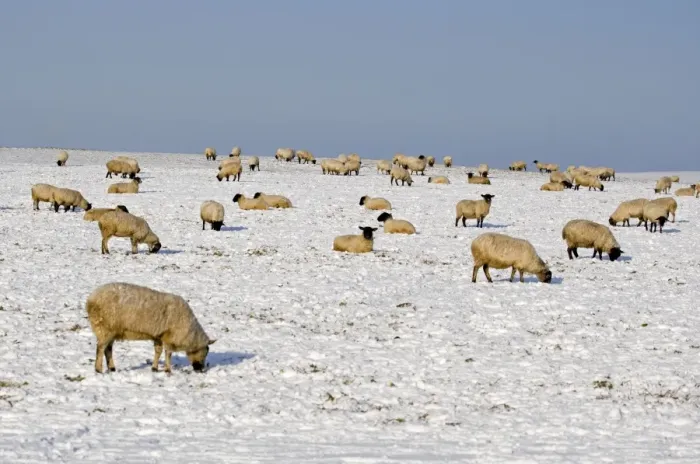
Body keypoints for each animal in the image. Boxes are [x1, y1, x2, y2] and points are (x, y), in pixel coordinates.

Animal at [86, 282, 215, 373]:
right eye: (205, 353)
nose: (201, 370)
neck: (189, 331)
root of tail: (91, 299)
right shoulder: (169, 336)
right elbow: (168, 353)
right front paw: (168, 370)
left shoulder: (159, 335)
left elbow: (158, 351)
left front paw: (154, 368)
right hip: (105, 327)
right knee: (101, 348)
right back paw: (98, 369)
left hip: (112, 330)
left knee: (108, 349)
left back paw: (112, 368)